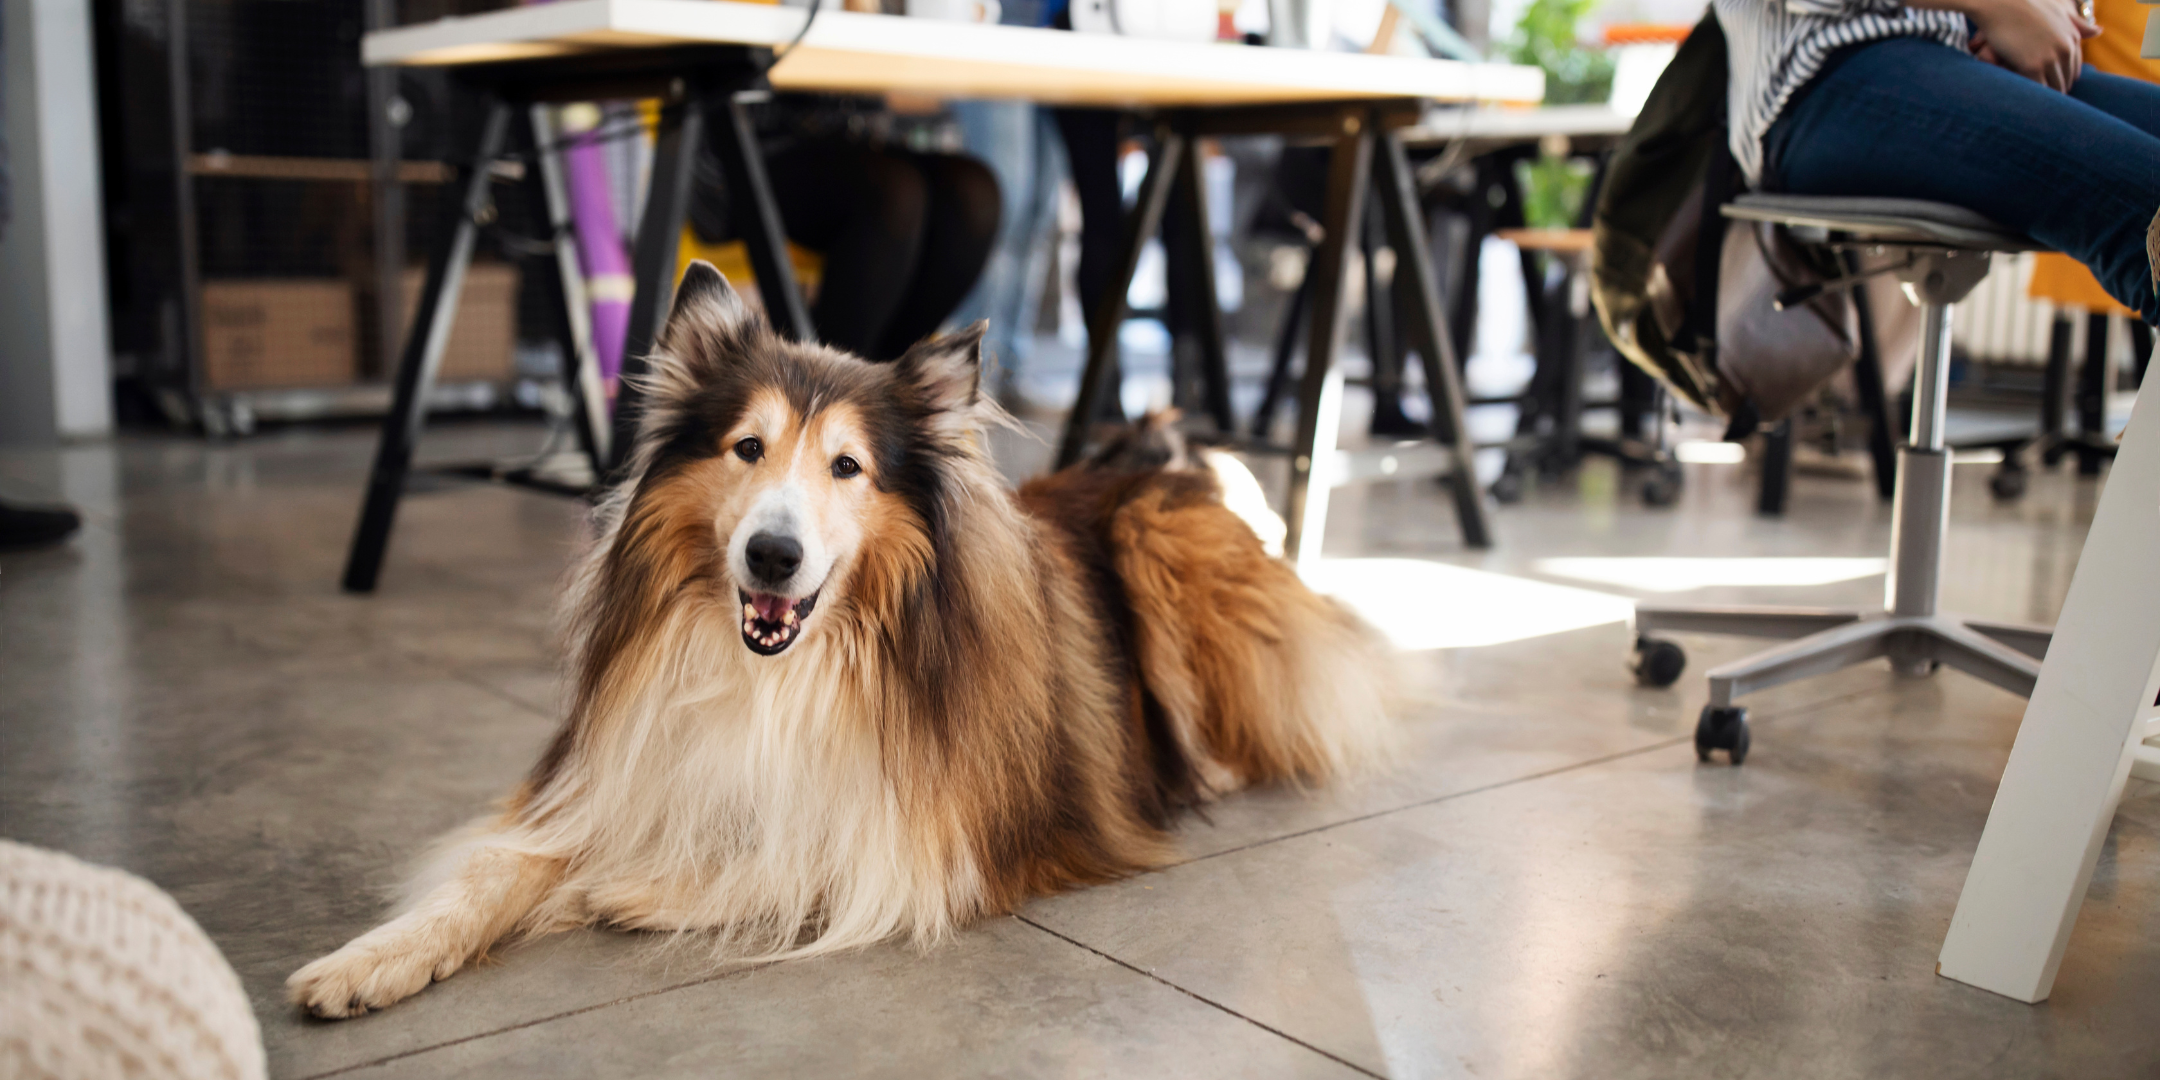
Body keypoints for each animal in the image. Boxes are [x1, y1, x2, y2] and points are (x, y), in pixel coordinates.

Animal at [287, 263, 1391, 1019]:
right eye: (747, 447)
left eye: (848, 467)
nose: (772, 556)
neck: (787, 672)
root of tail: (1167, 462)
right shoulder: (612, 774)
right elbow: (492, 871)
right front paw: (368, 959)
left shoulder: (937, 839)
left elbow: (805, 855)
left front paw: (630, 888)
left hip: (1159, 546)